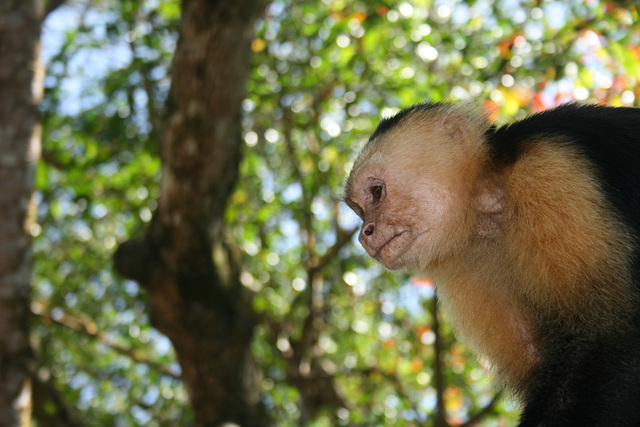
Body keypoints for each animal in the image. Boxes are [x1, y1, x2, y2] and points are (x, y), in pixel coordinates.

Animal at [344, 102, 640, 426]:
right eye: (359, 210)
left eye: (377, 192)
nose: (365, 234)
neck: (490, 204)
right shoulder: (467, 263)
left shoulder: (552, 172)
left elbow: (606, 338)